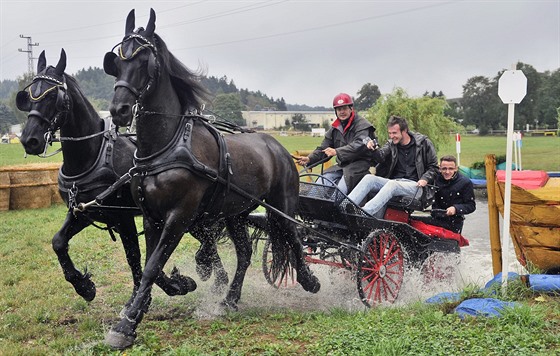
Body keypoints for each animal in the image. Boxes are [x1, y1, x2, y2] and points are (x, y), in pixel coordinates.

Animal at [17, 50, 226, 312]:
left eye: (53, 94)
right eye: (29, 95)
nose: (29, 140)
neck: (91, 154)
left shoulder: (123, 217)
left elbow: (135, 257)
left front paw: (155, 292)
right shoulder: (84, 212)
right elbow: (58, 242)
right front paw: (84, 286)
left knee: (208, 239)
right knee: (209, 240)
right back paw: (216, 279)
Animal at [101, 9, 320, 350]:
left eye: (144, 60)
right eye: (117, 61)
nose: (119, 110)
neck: (167, 146)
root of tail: (278, 148)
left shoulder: (178, 216)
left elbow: (152, 266)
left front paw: (126, 325)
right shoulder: (152, 217)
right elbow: (151, 266)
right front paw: (162, 294)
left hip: (281, 204)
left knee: (294, 237)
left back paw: (309, 280)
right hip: (236, 213)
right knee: (244, 255)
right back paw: (230, 299)